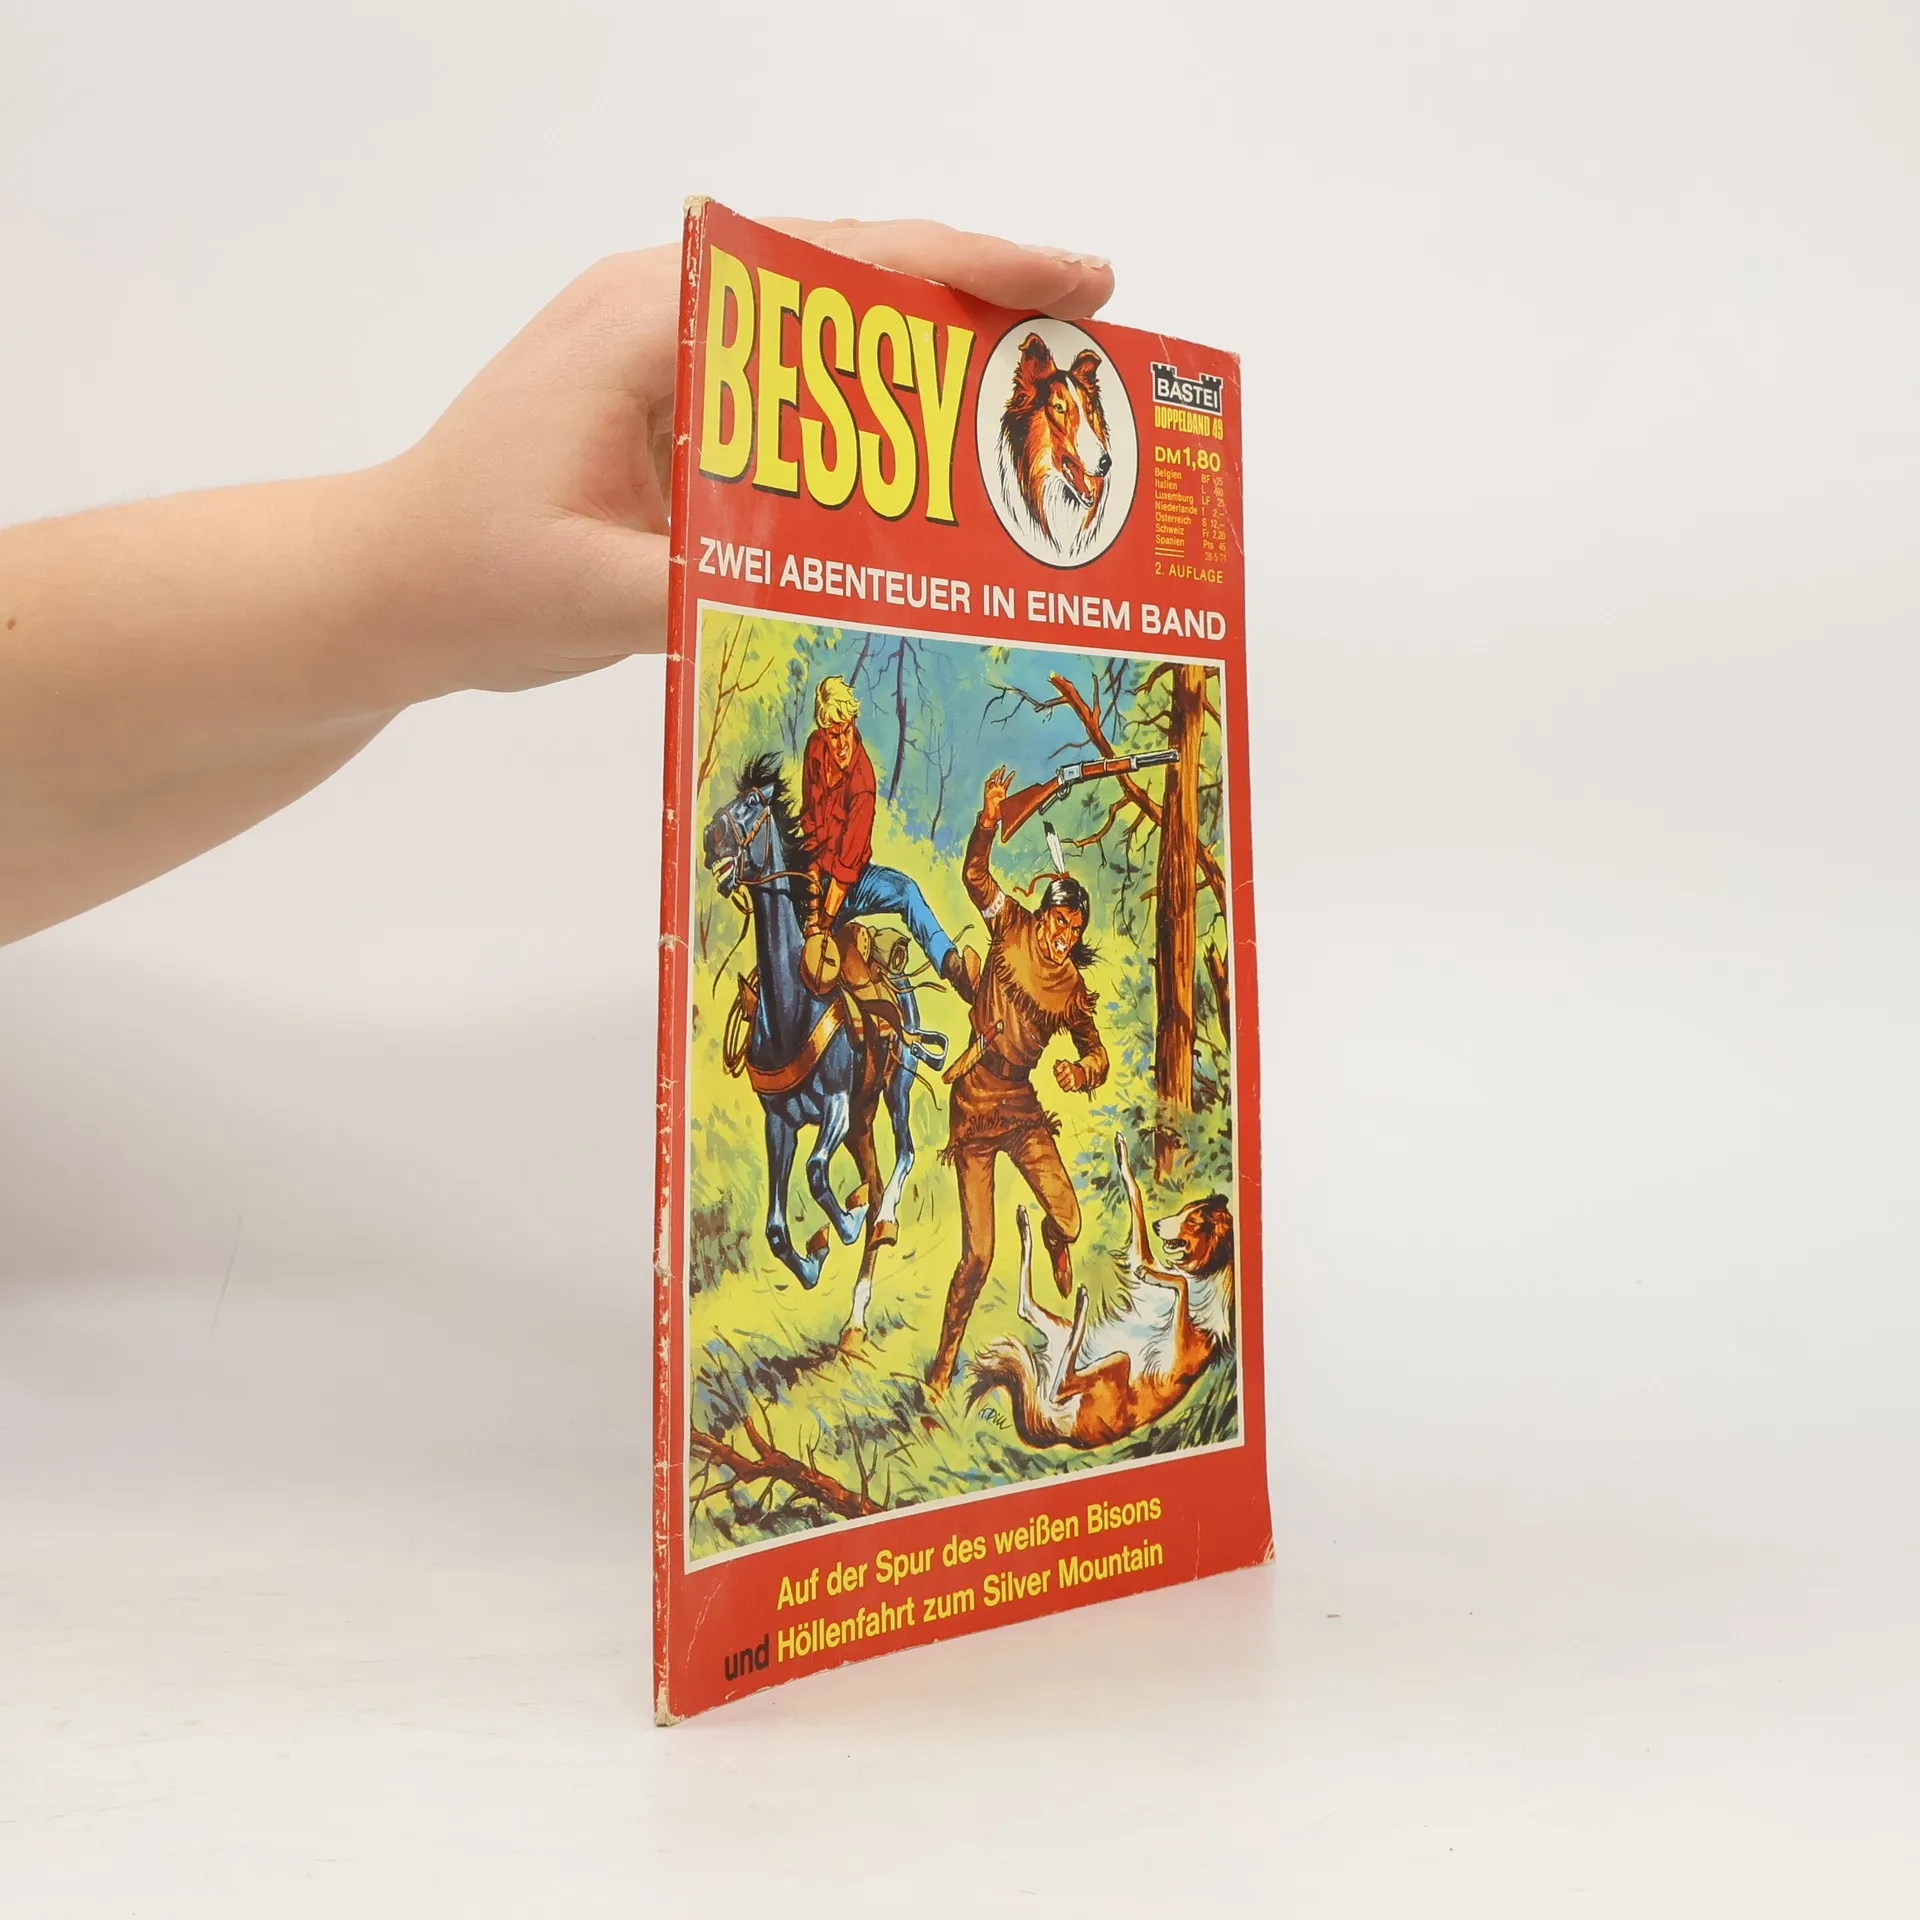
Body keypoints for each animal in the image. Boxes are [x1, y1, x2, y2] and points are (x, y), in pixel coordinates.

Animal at [702, 752, 930, 1337]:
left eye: (751, 803)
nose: (710, 839)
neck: (792, 1007)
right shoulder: (779, 1122)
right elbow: (777, 1227)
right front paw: (813, 1259)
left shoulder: (836, 1105)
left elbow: (815, 1174)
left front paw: (842, 1225)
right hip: (863, 1121)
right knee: (873, 1177)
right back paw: (855, 1312)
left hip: (892, 1089)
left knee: (902, 1157)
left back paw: (880, 1218)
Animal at [967, 1135, 1233, 1449]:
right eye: (1182, 1211)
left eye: (1193, 1221)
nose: (1158, 1225)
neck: (1206, 1271)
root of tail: (1063, 1434)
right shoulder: (1144, 1258)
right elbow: (1137, 1200)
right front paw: (1122, 1154)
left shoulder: (1181, 1350)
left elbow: (1178, 1284)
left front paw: (1156, 1276)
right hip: (1073, 1340)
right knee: (1027, 1309)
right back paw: (1026, 1228)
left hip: (1118, 1361)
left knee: (1060, 1380)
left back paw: (1081, 1302)